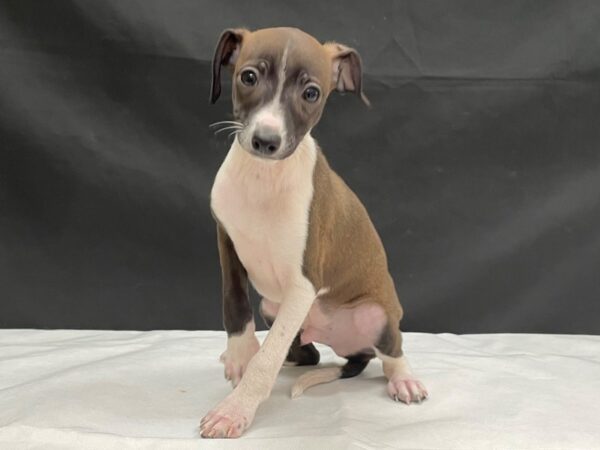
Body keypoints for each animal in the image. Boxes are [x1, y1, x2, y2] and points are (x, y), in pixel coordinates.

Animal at [202, 27, 426, 440]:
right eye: (248, 77)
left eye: (311, 93)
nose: (266, 141)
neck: (263, 180)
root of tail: (349, 347)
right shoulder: (227, 241)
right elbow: (234, 304)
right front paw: (240, 354)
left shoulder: (304, 282)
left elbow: (266, 359)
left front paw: (234, 410)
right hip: (274, 308)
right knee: (306, 352)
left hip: (375, 315)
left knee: (392, 351)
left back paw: (403, 379)